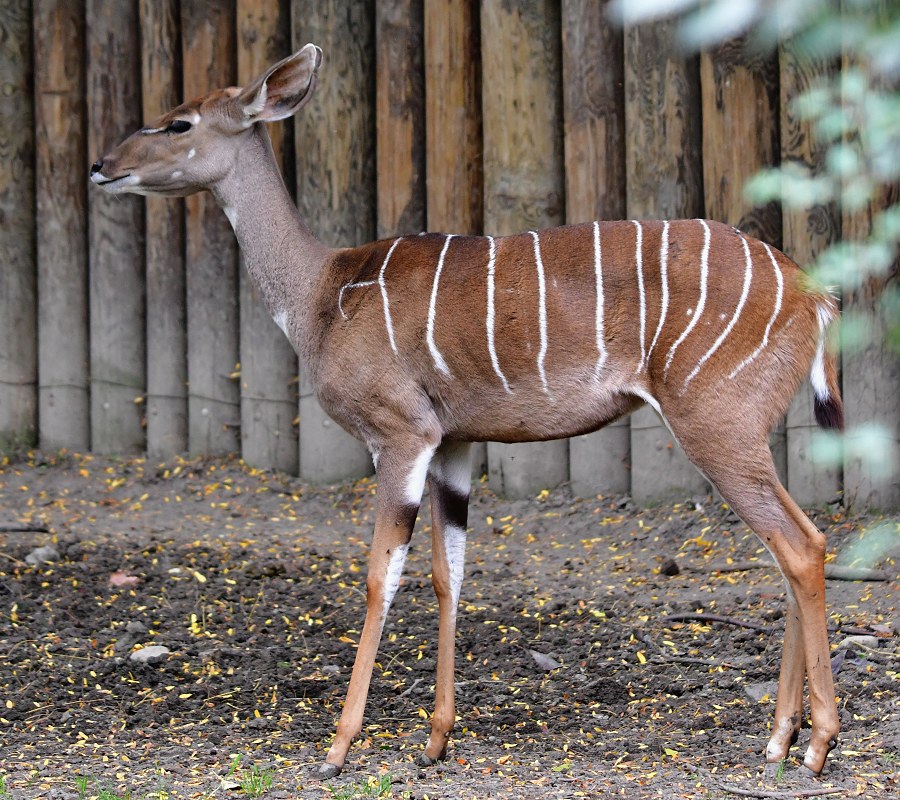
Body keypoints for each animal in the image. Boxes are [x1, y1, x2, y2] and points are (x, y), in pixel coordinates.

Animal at [91, 43, 844, 776]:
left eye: (179, 123)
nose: (102, 166)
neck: (323, 293)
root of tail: (814, 296)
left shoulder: (400, 433)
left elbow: (381, 575)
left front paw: (338, 746)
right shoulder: (453, 442)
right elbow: (446, 572)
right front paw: (436, 740)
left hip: (715, 426)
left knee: (800, 545)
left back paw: (815, 744)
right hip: (746, 433)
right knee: (792, 546)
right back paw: (778, 741)